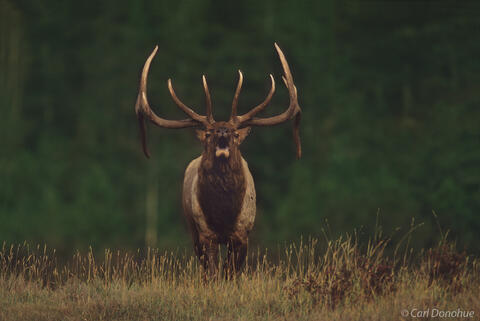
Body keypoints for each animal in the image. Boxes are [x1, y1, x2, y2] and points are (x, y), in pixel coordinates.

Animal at [134, 43, 300, 276]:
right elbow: (213, 273)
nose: (222, 131)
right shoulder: (205, 234)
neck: (224, 214)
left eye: (236, 134)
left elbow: (231, 272)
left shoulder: (242, 233)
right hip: (192, 231)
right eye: (208, 133)